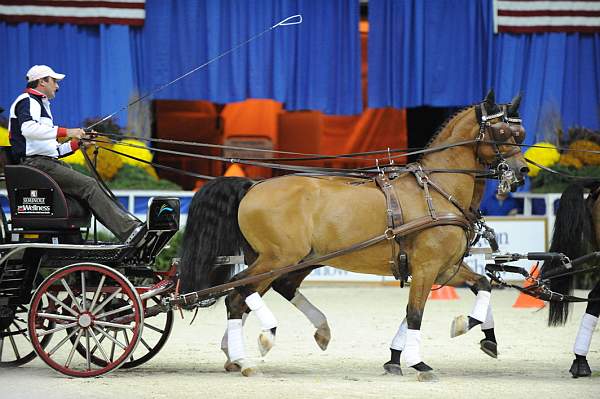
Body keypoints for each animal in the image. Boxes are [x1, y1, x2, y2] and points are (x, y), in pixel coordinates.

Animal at [180, 92, 528, 382]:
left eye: (521, 134)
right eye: (501, 133)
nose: (520, 171)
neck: (437, 190)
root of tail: (253, 185)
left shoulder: (446, 268)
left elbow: (482, 285)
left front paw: (480, 336)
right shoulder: (427, 267)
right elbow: (415, 313)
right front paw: (419, 361)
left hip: (289, 260)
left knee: (255, 294)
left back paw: (255, 348)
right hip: (278, 258)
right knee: (237, 295)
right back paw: (252, 351)